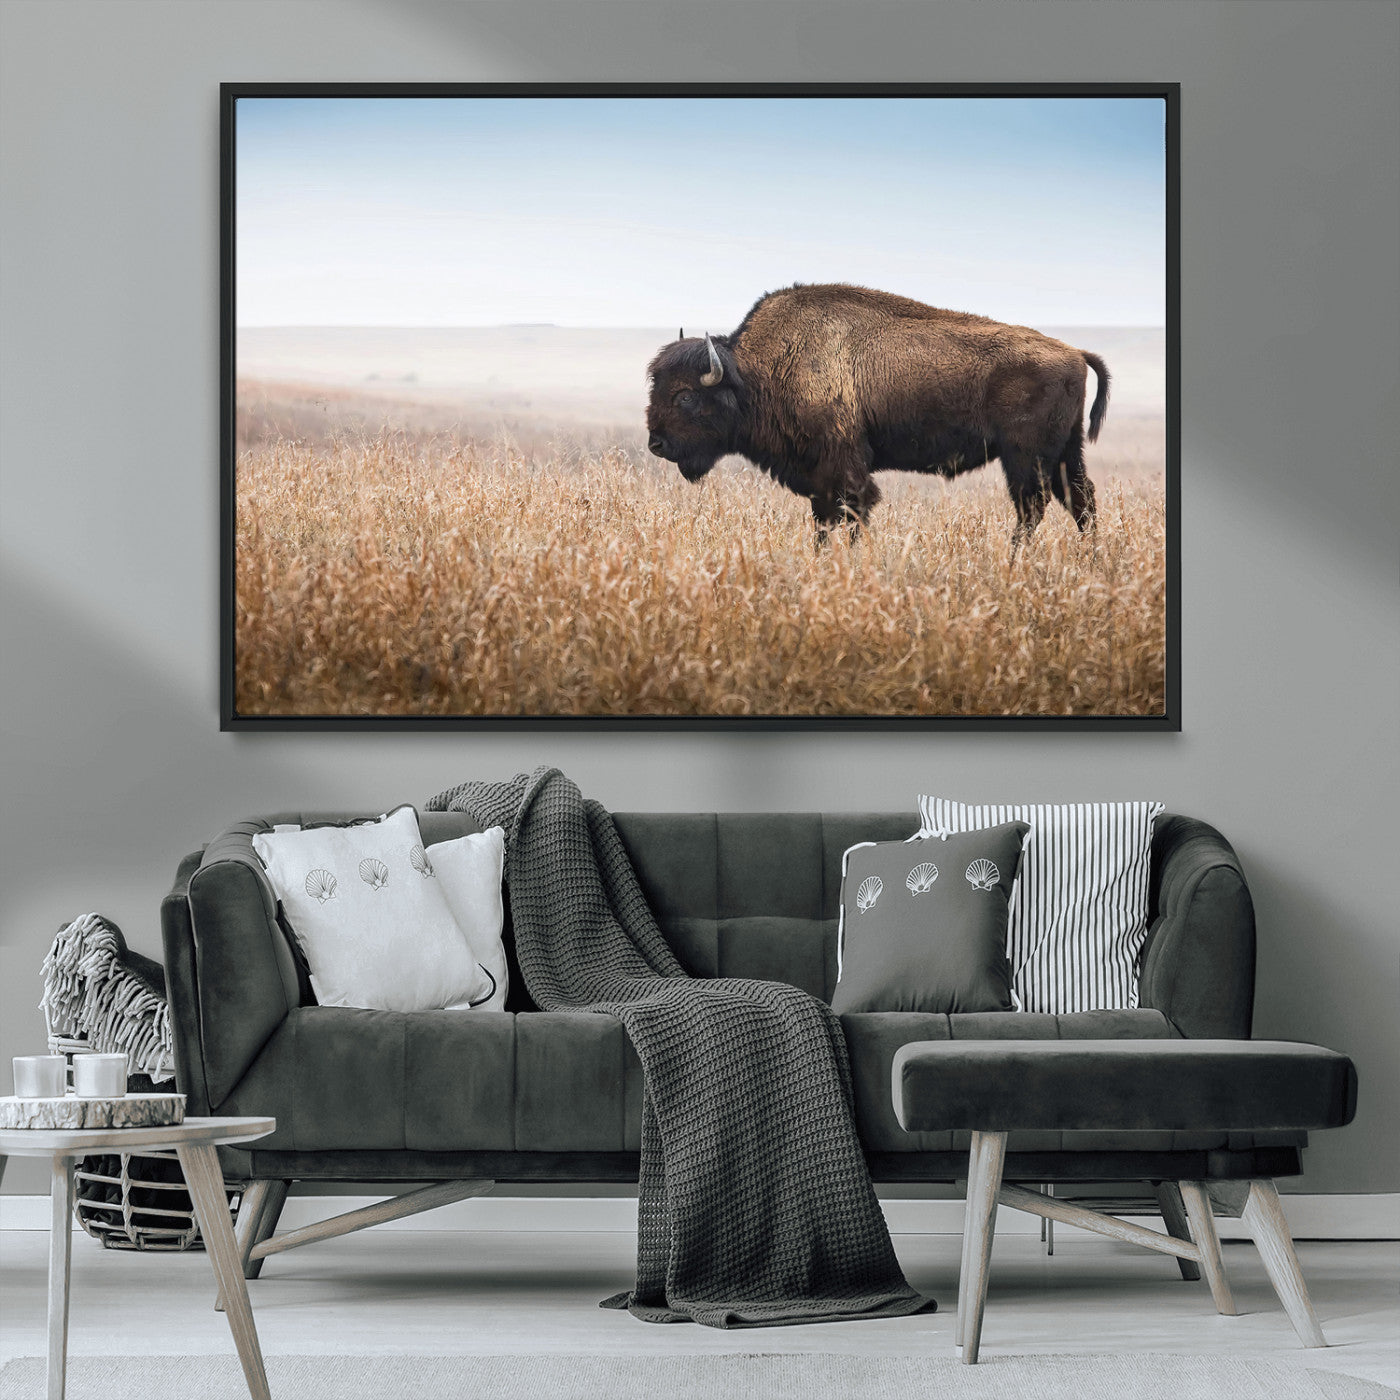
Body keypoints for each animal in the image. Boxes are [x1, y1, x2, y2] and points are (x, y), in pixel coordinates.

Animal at [646, 283, 1110, 548]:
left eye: (685, 396)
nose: (656, 443)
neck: (755, 372)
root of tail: (1074, 352)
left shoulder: (843, 469)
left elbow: (852, 513)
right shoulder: (819, 478)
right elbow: (824, 522)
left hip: (1025, 457)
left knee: (1033, 507)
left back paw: (1015, 560)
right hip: (1065, 453)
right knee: (1081, 501)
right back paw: (1090, 560)